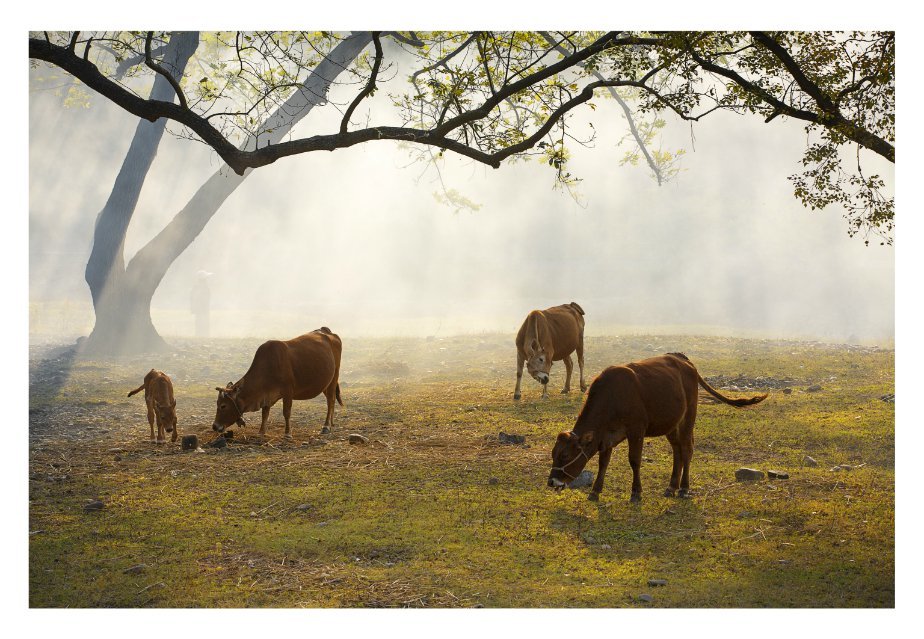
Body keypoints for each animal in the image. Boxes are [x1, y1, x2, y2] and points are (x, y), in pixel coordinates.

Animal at [212, 324, 342, 440]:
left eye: (223, 406)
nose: (215, 426)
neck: (268, 368)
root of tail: (327, 331)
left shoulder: (288, 392)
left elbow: (286, 412)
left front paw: (287, 434)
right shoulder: (266, 396)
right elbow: (265, 414)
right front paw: (261, 432)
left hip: (334, 377)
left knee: (330, 401)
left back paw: (326, 426)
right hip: (325, 383)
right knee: (331, 399)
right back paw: (332, 423)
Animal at [544, 352, 768, 502]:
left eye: (565, 455)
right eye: (554, 453)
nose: (552, 482)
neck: (613, 396)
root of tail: (683, 360)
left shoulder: (636, 430)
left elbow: (634, 460)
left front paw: (636, 492)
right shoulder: (605, 437)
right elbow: (603, 463)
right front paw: (595, 491)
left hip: (688, 418)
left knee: (687, 449)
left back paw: (684, 488)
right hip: (671, 424)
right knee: (677, 451)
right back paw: (671, 486)